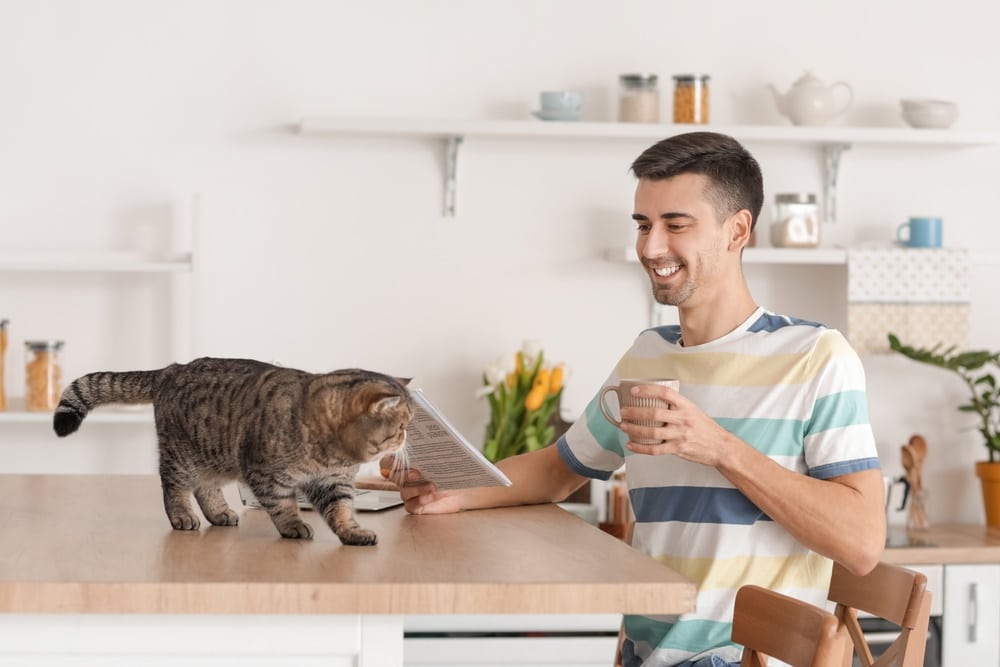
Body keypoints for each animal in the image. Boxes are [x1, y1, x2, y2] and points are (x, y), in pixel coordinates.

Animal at [52, 358, 412, 544]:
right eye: (402, 425)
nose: (407, 437)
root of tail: (171, 368)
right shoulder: (265, 473)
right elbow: (283, 505)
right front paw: (293, 526)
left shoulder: (333, 481)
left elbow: (341, 510)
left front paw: (353, 532)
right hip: (181, 456)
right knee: (174, 486)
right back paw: (182, 516)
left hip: (212, 456)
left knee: (205, 488)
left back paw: (219, 513)